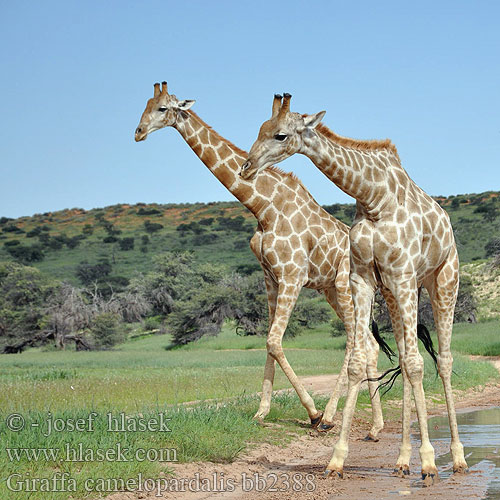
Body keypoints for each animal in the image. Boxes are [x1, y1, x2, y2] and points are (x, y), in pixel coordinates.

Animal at [136, 80, 386, 436]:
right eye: (144, 105)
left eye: (162, 108)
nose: (139, 132)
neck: (263, 207)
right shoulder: (270, 277)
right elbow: (268, 342)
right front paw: (261, 412)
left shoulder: (293, 275)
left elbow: (274, 341)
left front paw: (311, 413)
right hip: (330, 291)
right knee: (369, 343)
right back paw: (375, 426)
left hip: (342, 286)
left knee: (356, 342)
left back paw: (328, 417)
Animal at [242, 94, 468, 484]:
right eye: (260, 129)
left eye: (281, 135)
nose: (247, 167)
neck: (373, 196)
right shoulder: (364, 278)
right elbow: (361, 360)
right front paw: (336, 460)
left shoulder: (402, 273)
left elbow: (415, 363)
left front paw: (428, 462)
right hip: (395, 292)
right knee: (407, 359)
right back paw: (401, 460)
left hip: (441, 280)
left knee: (442, 360)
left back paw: (455, 458)